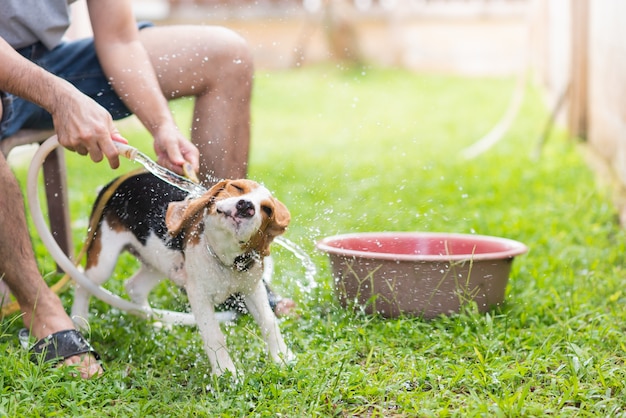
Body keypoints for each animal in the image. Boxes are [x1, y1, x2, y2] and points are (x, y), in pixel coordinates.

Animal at [72, 171, 296, 378]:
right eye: (237, 188)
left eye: (267, 209)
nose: (246, 206)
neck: (224, 258)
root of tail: (117, 181)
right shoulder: (199, 295)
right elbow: (214, 335)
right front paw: (226, 373)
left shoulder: (252, 288)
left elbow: (269, 321)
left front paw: (283, 358)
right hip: (105, 259)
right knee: (82, 281)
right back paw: (79, 321)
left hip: (160, 261)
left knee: (134, 286)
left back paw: (154, 322)